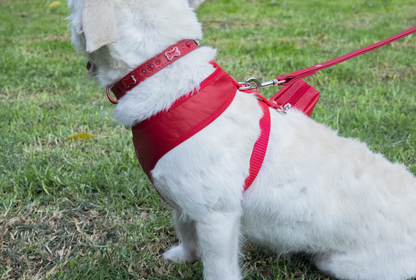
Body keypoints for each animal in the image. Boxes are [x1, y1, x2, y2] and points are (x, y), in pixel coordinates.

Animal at [66, 1, 416, 278]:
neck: (168, 79)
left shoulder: (217, 217)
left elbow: (217, 268)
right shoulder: (183, 201)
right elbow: (185, 230)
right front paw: (185, 257)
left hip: (346, 264)